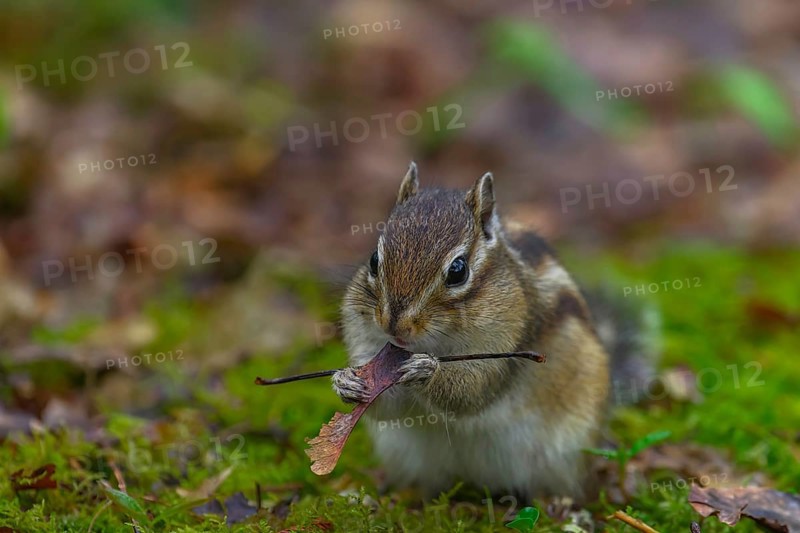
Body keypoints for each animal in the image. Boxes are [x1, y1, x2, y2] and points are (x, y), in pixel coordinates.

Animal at [333, 162, 653, 501]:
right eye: (373, 260)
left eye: (458, 271)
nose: (394, 325)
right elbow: (386, 408)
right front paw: (345, 382)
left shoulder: (508, 345)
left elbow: (473, 391)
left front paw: (424, 370)